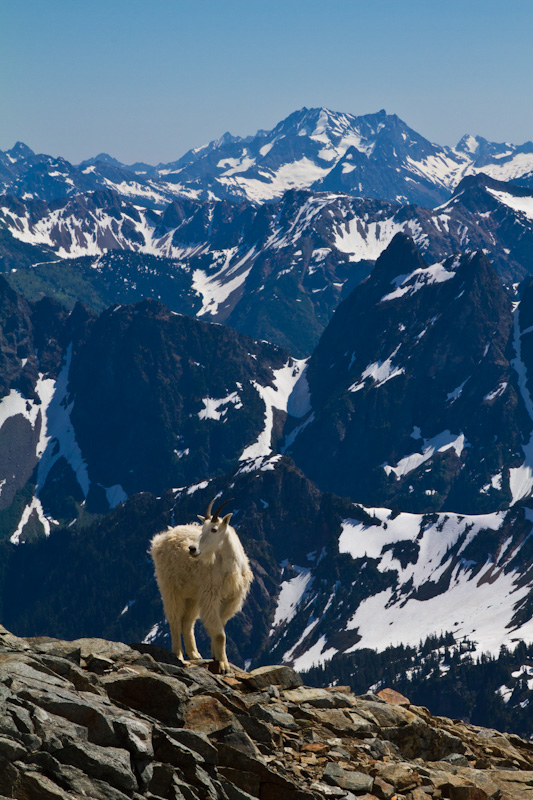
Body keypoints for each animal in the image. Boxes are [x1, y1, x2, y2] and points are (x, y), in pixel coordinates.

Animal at [148, 496, 251, 672]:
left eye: (214, 529)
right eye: (202, 528)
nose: (192, 549)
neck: (230, 567)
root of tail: (160, 539)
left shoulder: (231, 598)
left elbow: (221, 626)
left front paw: (215, 655)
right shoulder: (211, 596)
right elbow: (220, 634)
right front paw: (223, 666)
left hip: (193, 595)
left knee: (187, 621)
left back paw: (195, 654)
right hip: (170, 588)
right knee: (175, 619)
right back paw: (178, 655)